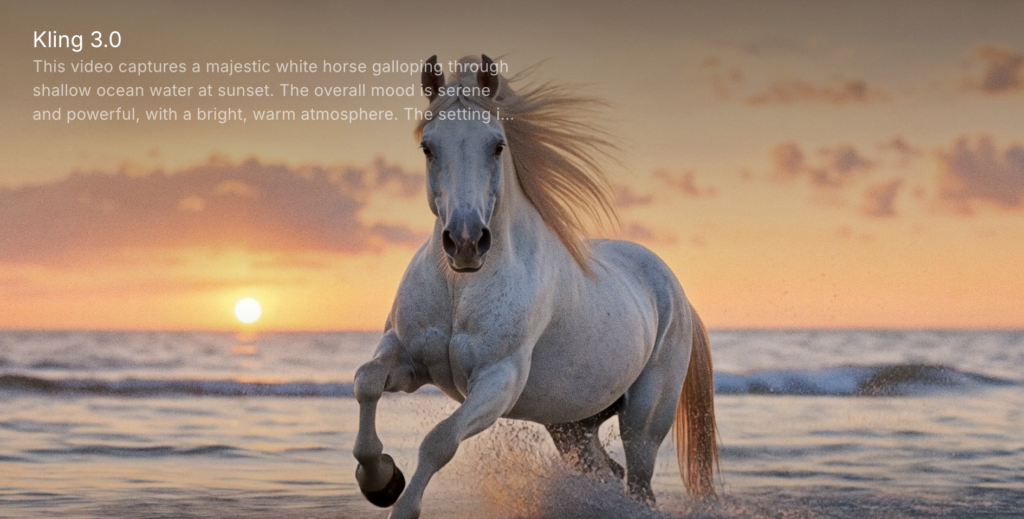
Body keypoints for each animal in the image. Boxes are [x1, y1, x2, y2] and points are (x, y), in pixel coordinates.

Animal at [352, 55, 719, 519]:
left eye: (497, 145)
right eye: (428, 147)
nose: (466, 241)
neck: (461, 289)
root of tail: (676, 293)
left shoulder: (498, 381)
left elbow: (439, 441)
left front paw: (398, 499)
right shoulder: (405, 356)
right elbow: (365, 382)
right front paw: (380, 480)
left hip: (643, 423)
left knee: (638, 483)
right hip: (572, 426)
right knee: (607, 474)